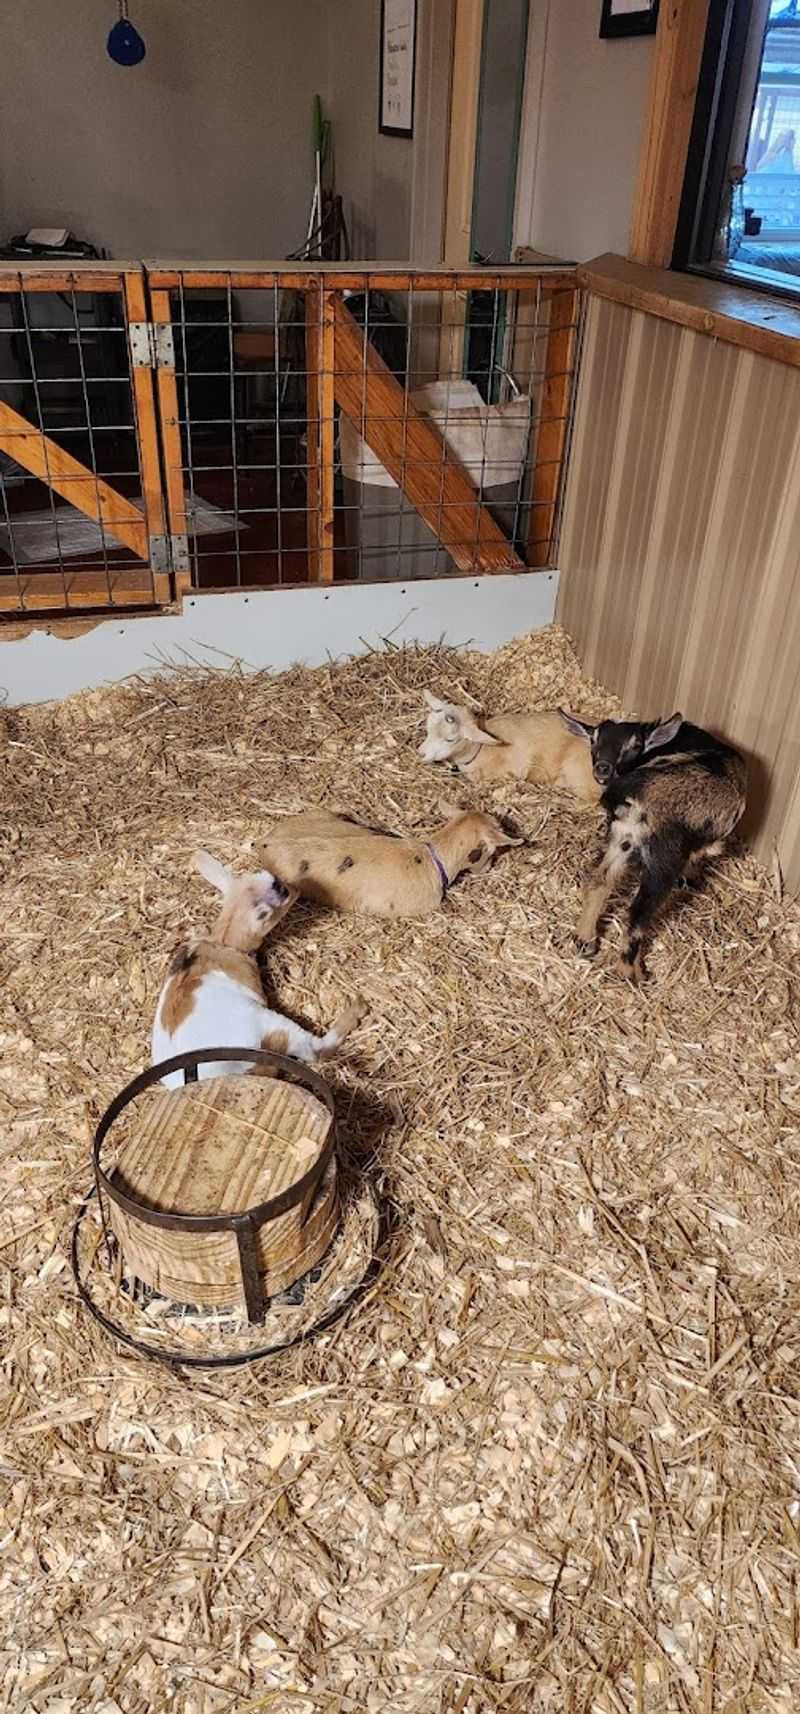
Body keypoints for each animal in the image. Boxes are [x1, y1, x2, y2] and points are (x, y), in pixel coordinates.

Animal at [151, 851, 364, 1087]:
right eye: (284, 893)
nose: (292, 887)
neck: (223, 943)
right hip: (272, 1026)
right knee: (317, 1049)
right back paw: (358, 1007)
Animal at [419, 690, 600, 805]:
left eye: (450, 739)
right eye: (428, 727)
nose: (420, 753)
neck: (481, 751)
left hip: (577, 768)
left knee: (589, 802)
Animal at [558, 710, 747, 981]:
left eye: (635, 744)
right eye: (593, 740)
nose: (603, 768)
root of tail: (632, 793)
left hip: (621, 839)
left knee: (599, 879)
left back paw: (585, 941)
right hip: (663, 860)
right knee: (637, 914)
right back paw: (632, 973)